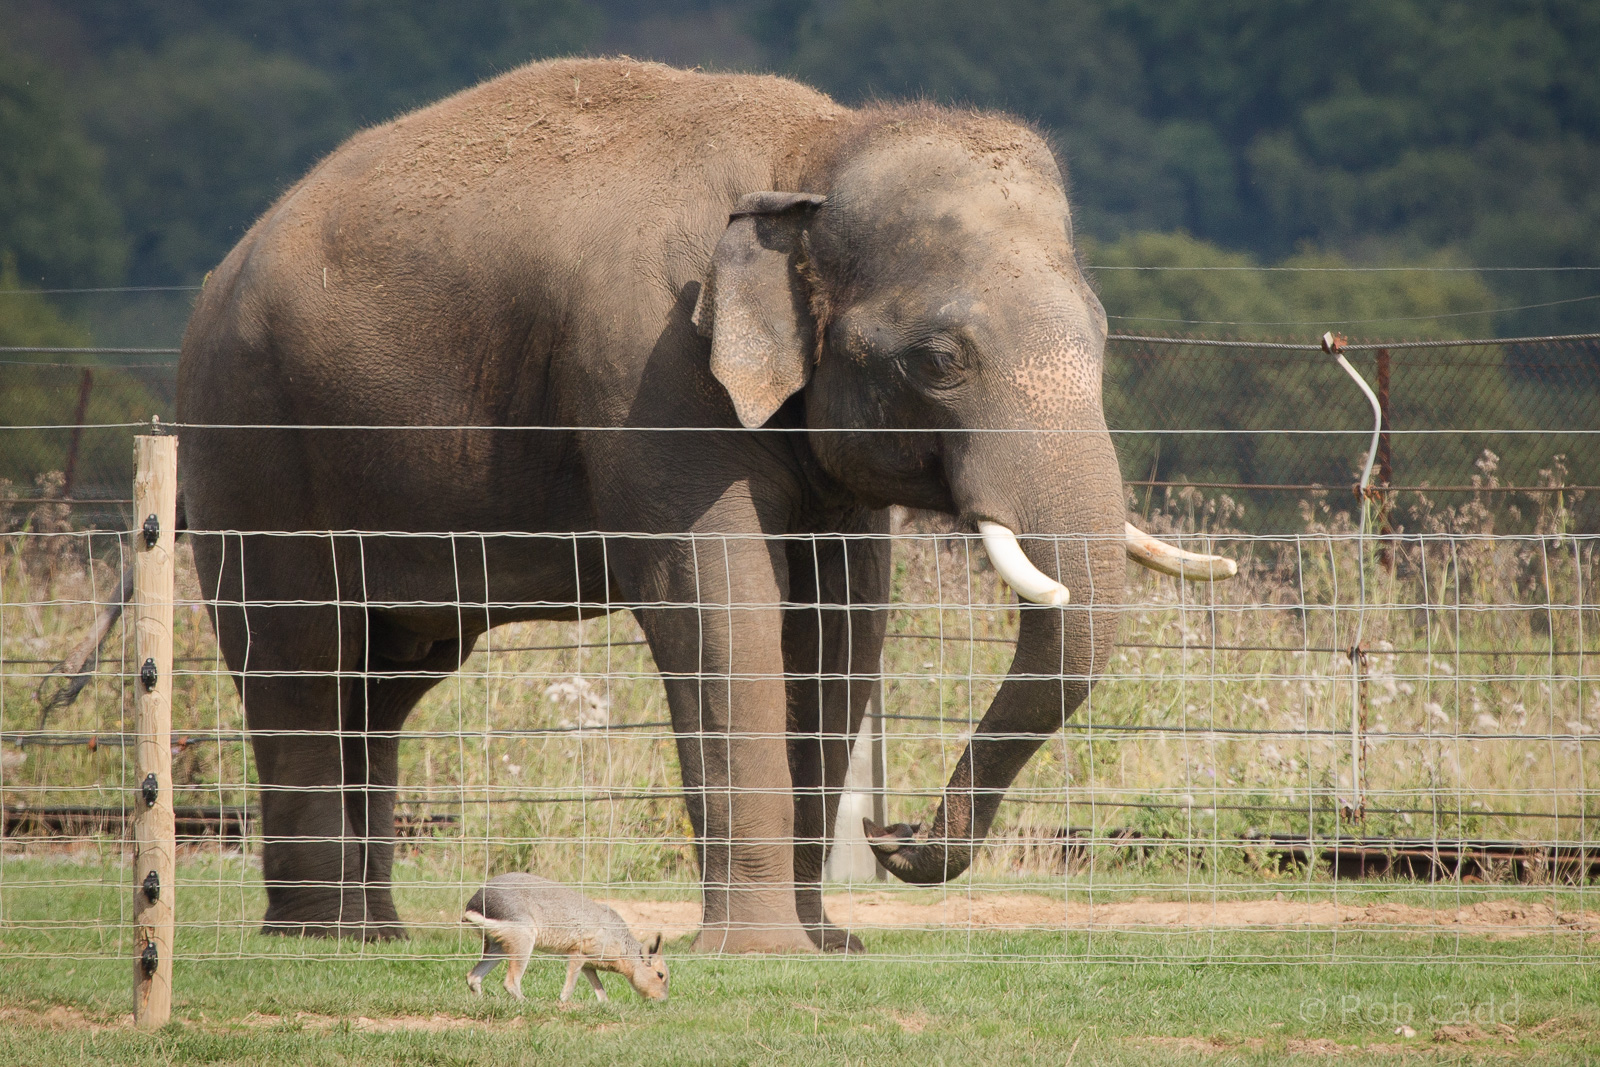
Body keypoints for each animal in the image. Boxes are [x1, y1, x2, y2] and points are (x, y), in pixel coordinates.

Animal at [175, 57, 1232, 952]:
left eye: (1102, 335)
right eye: (940, 359)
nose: (896, 834)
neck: (811, 150)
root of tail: (223, 267)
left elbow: (845, 616)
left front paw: (829, 947)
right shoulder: (650, 369)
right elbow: (718, 599)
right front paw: (763, 953)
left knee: (385, 683)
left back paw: (375, 933)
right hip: (249, 445)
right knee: (302, 653)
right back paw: (323, 936)